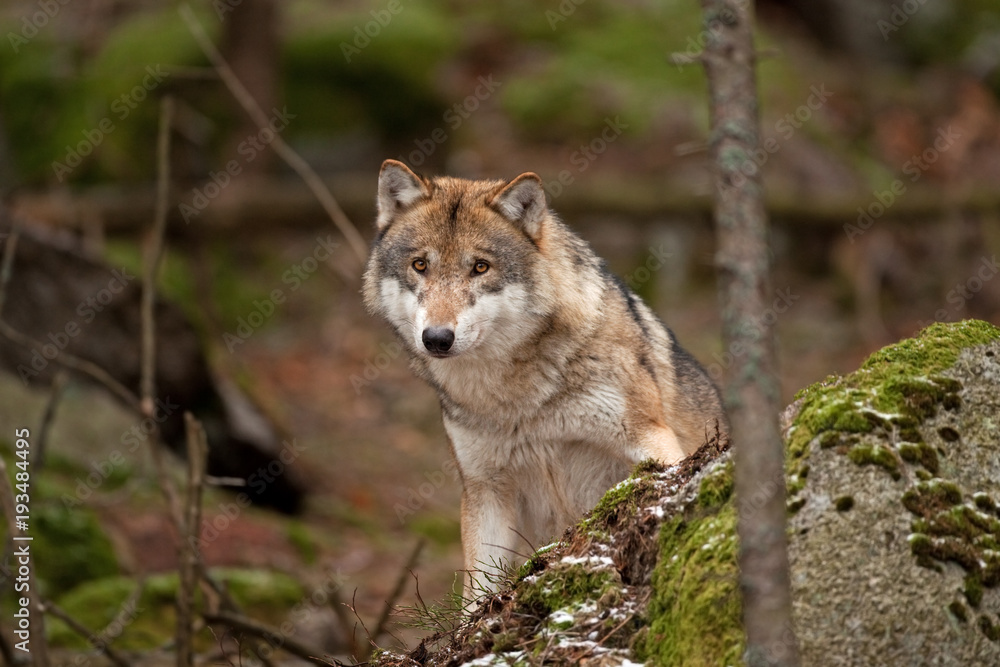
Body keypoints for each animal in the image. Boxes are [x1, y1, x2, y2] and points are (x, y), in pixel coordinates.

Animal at [363, 160, 728, 596]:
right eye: (420, 265)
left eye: (480, 267)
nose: (436, 338)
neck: (519, 398)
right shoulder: (486, 490)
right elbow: (476, 593)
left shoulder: (652, 442)